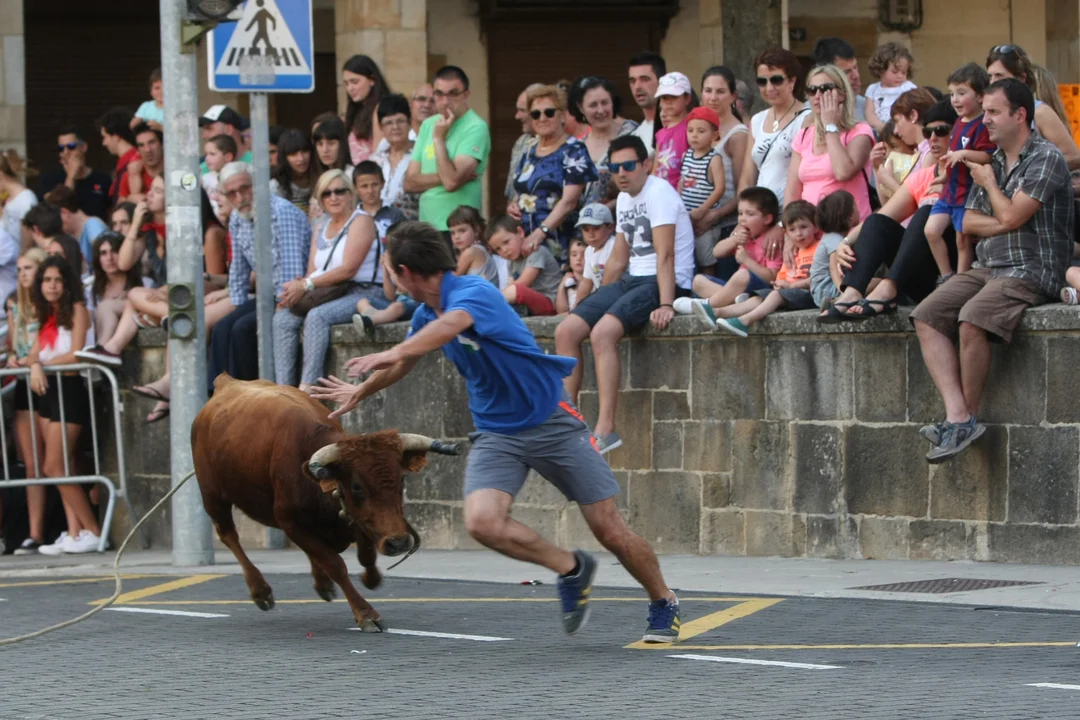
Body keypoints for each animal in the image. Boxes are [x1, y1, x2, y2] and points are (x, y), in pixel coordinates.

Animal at [190, 375, 460, 631]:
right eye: (356, 486)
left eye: (401, 479)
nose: (399, 542)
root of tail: (226, 383)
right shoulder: (291, 523)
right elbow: (335, 564)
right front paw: (367, 615)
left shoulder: (353, 519)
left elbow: (365, 556)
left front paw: (368, 578)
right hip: (212, 495)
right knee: (229, 535)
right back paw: (261, 591)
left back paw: (322, 584)